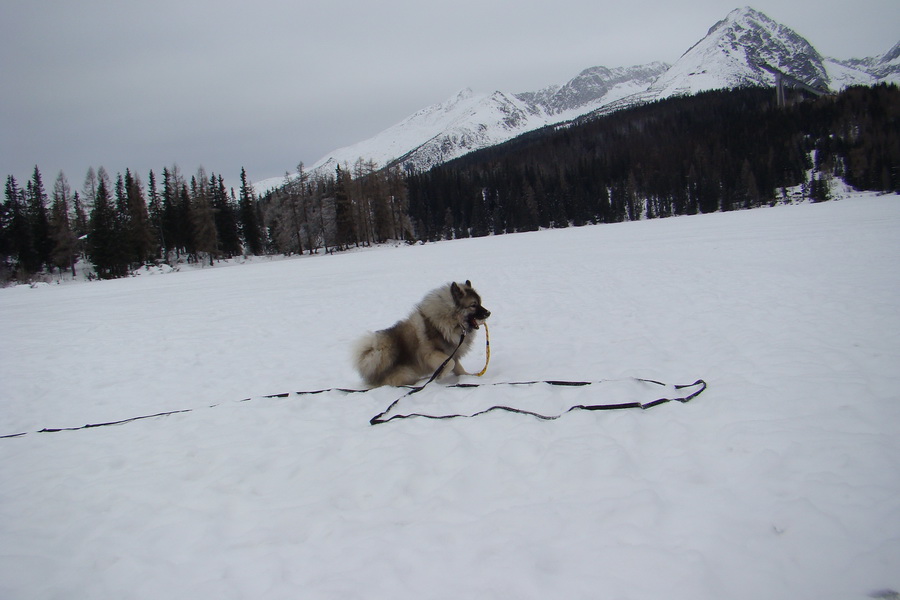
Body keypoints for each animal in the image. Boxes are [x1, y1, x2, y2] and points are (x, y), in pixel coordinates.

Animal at [354, 280, 492, 386]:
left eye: (480, 303)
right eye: (473, 305)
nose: (488, 312)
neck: (450, 319)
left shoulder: (451, 352)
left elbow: (458, 367)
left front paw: (468, 378)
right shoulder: (432, 354)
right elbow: (450, 364)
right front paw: (440, 376)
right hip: (407, 372)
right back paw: (423, 381)